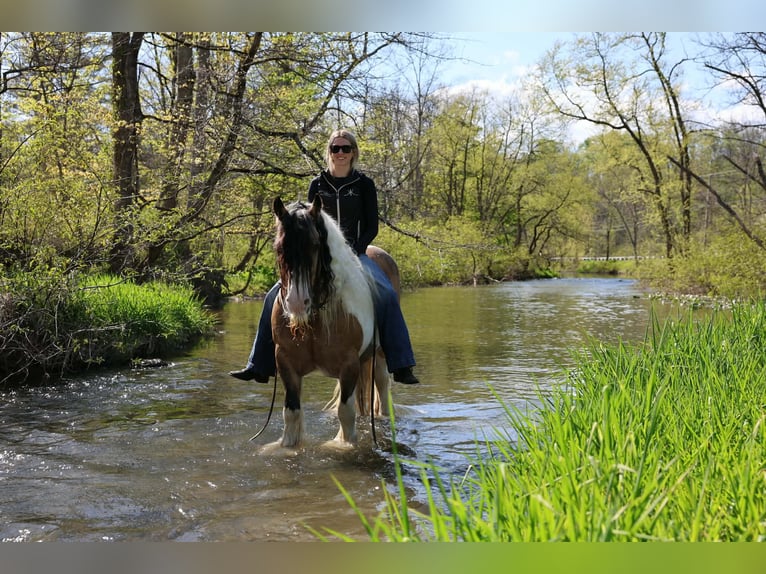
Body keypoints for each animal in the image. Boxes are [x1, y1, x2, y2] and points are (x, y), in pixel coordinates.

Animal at [270, 195, 397, 448]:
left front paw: (343, 447)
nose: (297, 303)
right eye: (279, 248)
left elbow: (345, 414)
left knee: (381, 385)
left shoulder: (348, 364)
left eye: (314, 245)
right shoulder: (286, 362)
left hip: (378, 355)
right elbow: (291, 413)